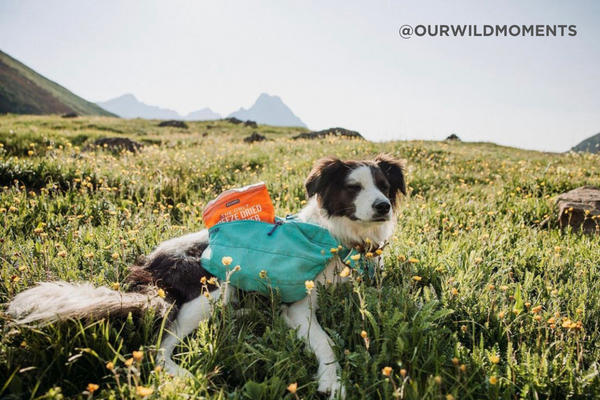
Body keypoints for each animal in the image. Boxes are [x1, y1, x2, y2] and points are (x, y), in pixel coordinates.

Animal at [5, 152, 408, 396]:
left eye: (385, 187)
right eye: (353, 187)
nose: (383, 207)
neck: (343, 239)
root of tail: (148, 267)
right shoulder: (299, 305)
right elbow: (326, 342)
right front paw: (333, 381)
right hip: (212, 287)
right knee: (156, 349)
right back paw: (188, 376)